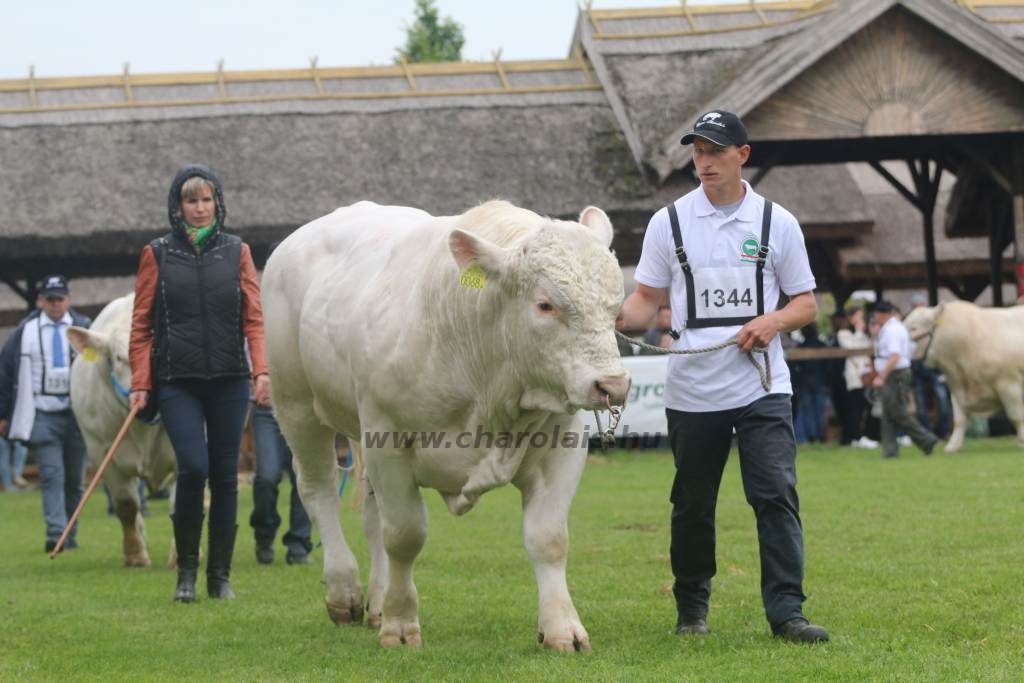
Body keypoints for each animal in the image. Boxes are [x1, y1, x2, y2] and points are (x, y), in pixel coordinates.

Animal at [262, 198, 630, 651]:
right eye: (546, 304)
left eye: (616, 307)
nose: (612, 385)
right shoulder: (388, 440)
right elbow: (404, 535)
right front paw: (401, 625)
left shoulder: (563, 442)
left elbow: (548, 538)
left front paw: (562, 627)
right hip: (296, 405)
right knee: (320, 491)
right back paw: (344, 589)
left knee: (371, 514)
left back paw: (378, 601)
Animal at [905, 301, 1024, 450]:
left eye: (913, 328)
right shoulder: (956, 387)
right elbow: (959, 420)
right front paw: (953, 446)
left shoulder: (1009, 384)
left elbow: (1016, 417)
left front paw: (1022, 441)